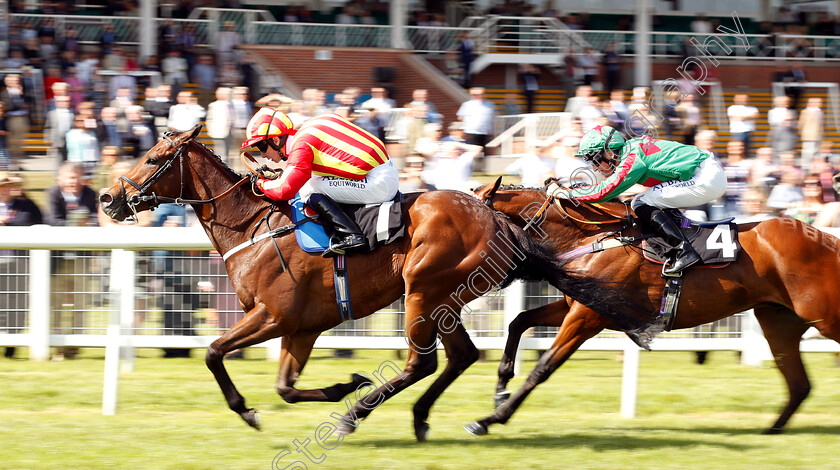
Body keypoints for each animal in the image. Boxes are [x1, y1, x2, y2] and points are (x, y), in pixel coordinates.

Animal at [100, 125, 648, 440]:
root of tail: (494, 216)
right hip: (445, 298)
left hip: (422, 289)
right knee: (460, 356)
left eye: (154, 159)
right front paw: (342, 383)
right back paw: (418, 416)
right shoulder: (301, 327)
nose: (108, 198)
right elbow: (285, 387)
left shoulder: (272, 316)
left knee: (421, 362)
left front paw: (250, 411)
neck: (253, 228)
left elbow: (215, 352)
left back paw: (357, 415)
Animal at [470, 178, 840, 436]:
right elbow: (519, 321)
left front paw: (491, 418)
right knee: (799, 384)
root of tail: (827, 239)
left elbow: (543, 367)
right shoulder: (576, 304)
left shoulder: (588, 317)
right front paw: (500, 389)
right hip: (779, 322)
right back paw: (772, 429)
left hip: (824, 317)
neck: (590, 238)